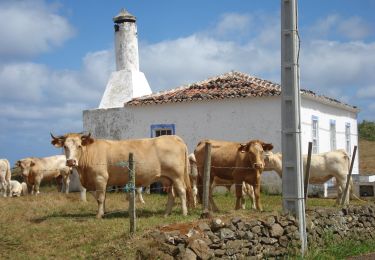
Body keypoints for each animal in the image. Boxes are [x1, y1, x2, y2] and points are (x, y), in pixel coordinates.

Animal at [51, 133, 192, 218]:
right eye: (65, 146)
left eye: (79, 146)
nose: (71, 161)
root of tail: (174, 137)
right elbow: (103, 198)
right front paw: (104, 213)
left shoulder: (100, 178)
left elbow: (100, 198)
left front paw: (99, 215)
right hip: (167, 178)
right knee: (172, 194)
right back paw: (166, 214)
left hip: (177, 176)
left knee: (182, 192)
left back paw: (184, 212)